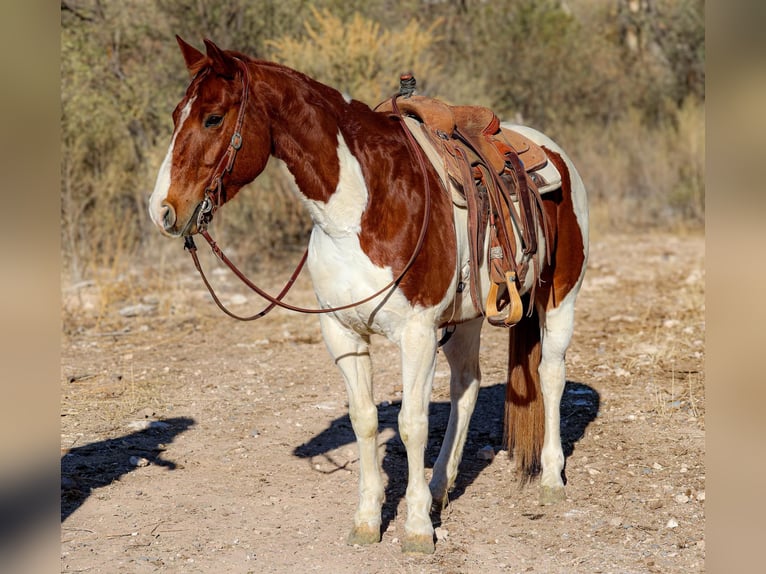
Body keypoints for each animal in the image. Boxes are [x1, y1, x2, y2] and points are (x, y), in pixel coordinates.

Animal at [149, 37, 588, 554]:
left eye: (213, 118)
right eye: (176, 115)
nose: (162, 210)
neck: (361, 208)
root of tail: (551, 151)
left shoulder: (417, 334)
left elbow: (412, 423)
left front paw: (416, 527)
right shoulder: (342, 333)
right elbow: (364, 420)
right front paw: (368, 519)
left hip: (560, 298)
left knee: (551, 374)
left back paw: (551, 479)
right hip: (468, 316)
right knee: (467, 387)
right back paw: (440, 486)